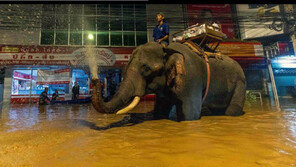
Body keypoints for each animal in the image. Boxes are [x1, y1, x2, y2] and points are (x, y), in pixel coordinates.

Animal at [91, 41, 246, 120]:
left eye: (146, 68)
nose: (95, 79)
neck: (167, 48)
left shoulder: (191, 77)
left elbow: (189, 114)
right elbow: (161, 109)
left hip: (240, 83)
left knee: (231, 110)